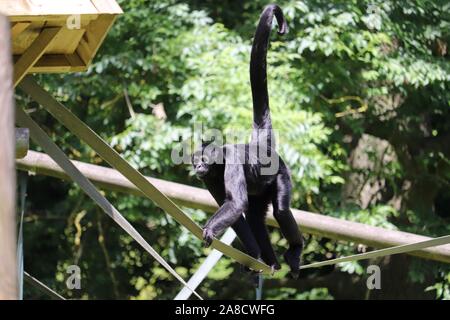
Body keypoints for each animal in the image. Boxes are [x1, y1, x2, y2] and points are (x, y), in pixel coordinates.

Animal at [190, 3, 302, 278]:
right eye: (195, 162)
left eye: (203, 160)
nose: (198, 167)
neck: (218, 164)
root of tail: (261, 146)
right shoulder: (209, 179)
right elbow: (238, 215)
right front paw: (254, 255)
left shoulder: (230, 164)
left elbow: (236, 203)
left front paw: (209, 229)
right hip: (261, 191)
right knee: (254, 218)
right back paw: (270, 261)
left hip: (281, 173)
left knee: (280, 210)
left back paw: (295, 250)